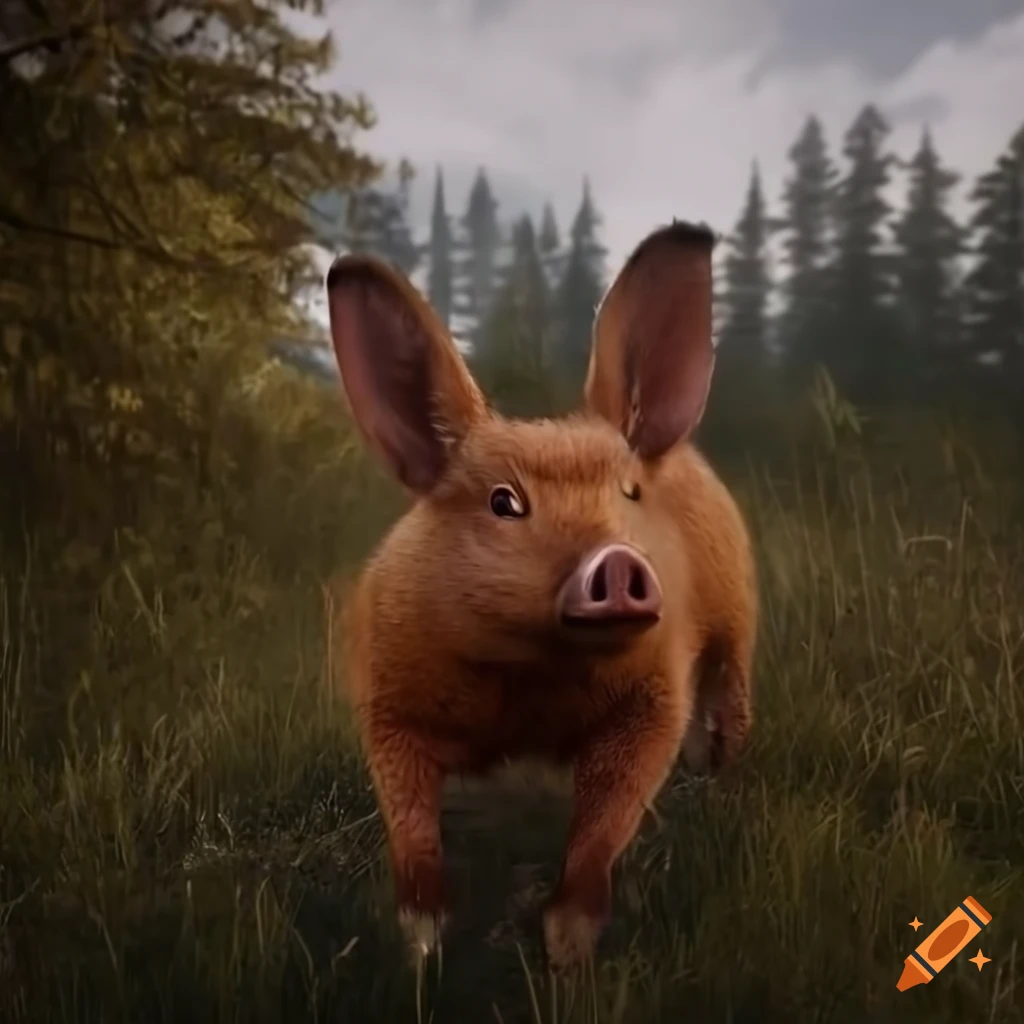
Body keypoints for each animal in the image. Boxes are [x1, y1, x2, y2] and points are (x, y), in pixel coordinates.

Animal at [325, 220, 757, 970]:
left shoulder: (654, 700)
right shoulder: (386, 697)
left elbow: (607, 817)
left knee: (729, 689)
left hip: (737, 617)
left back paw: (717, 764)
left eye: (628, 493)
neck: (531, 681)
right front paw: (423, 946)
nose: (617, 557)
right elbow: (408, 817)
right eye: (504, 502)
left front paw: (565, 951)